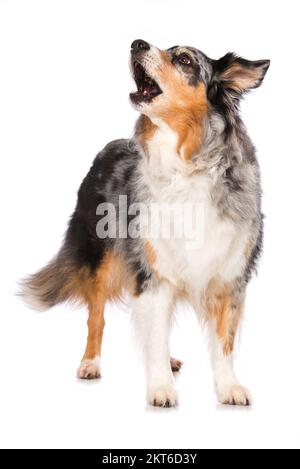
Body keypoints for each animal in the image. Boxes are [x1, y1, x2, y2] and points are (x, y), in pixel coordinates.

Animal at [21, 40, 270, 406]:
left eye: (184, 60)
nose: (137, 43)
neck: (186, 163)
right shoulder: (153, 271)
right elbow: (152, 333)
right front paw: (161, 387)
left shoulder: (230, 274)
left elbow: (223, 341)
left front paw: (229, 387)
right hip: (102, 259)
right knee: (96, 318)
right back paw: (90, 363)